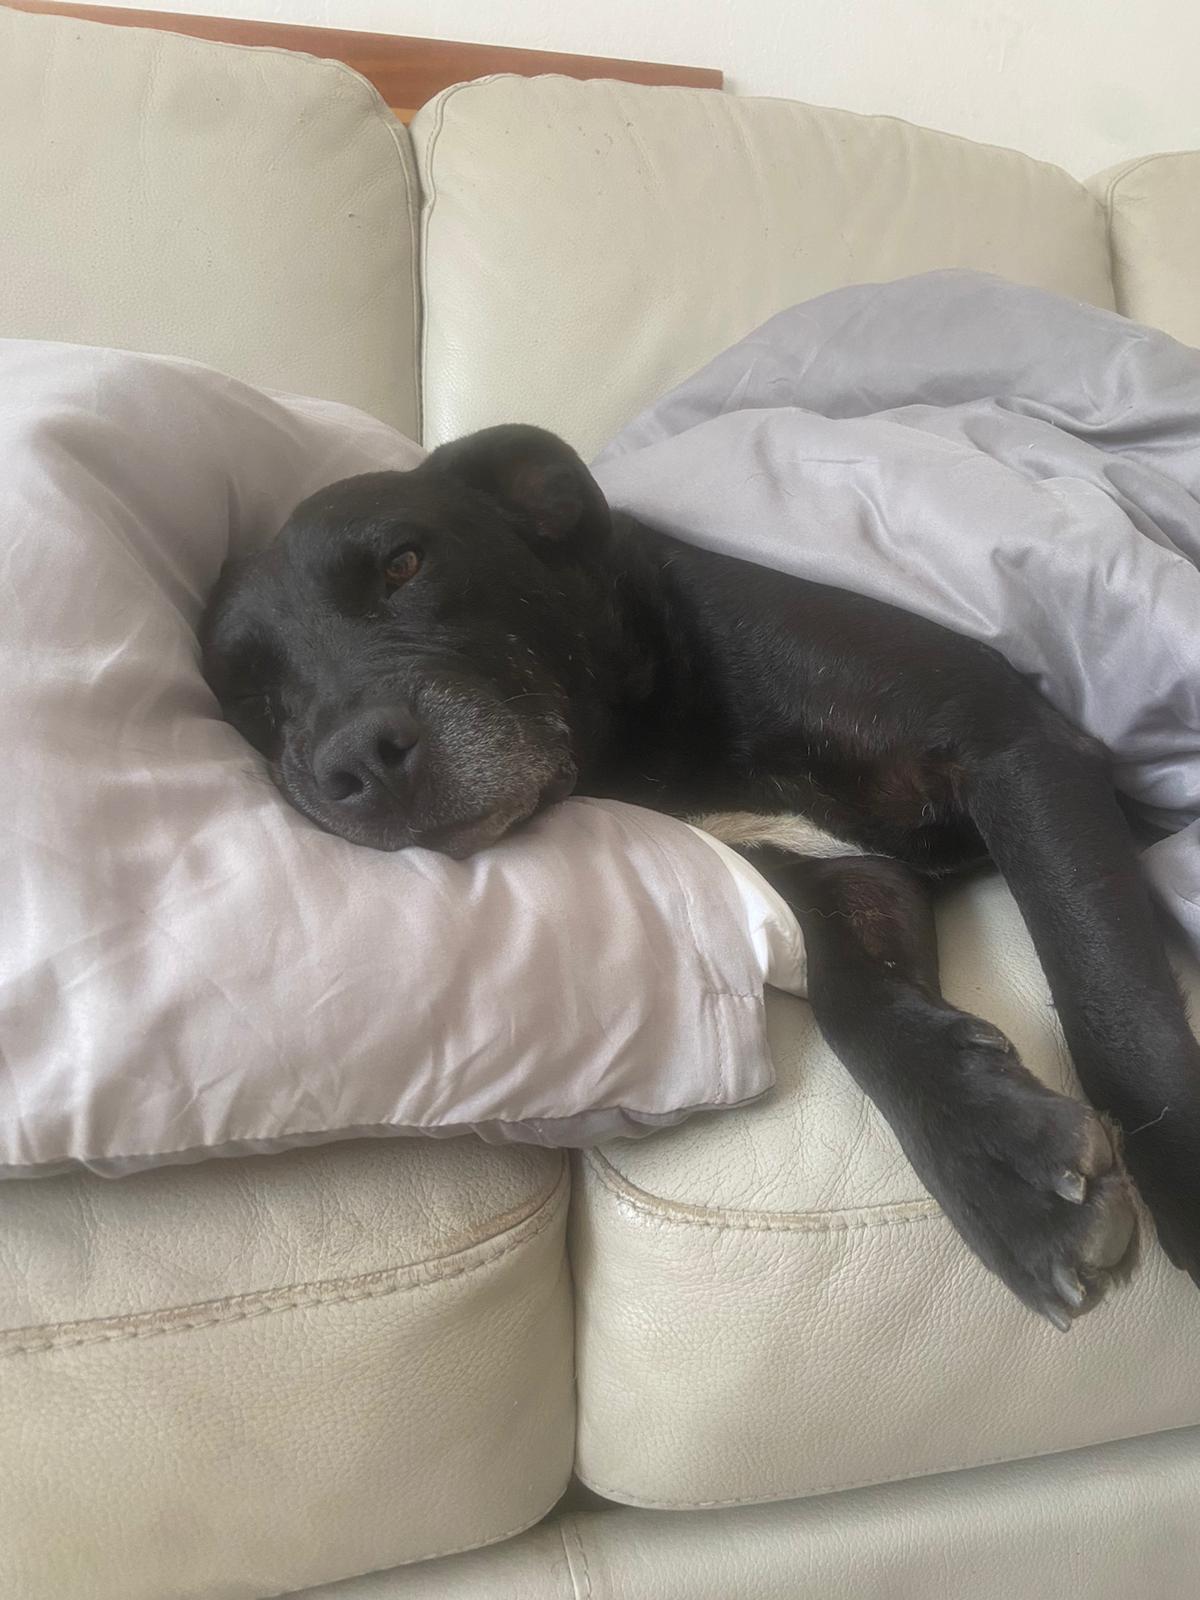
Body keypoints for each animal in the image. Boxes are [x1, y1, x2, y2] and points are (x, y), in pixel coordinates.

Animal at [200, 424, 1200, 1329]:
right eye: (251, 699)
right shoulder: (847, 875)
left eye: (404, 565)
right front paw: (994, 1161)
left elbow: (1110, 1001)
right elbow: (854, 1002)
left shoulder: (1017, 746)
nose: (357, 762)